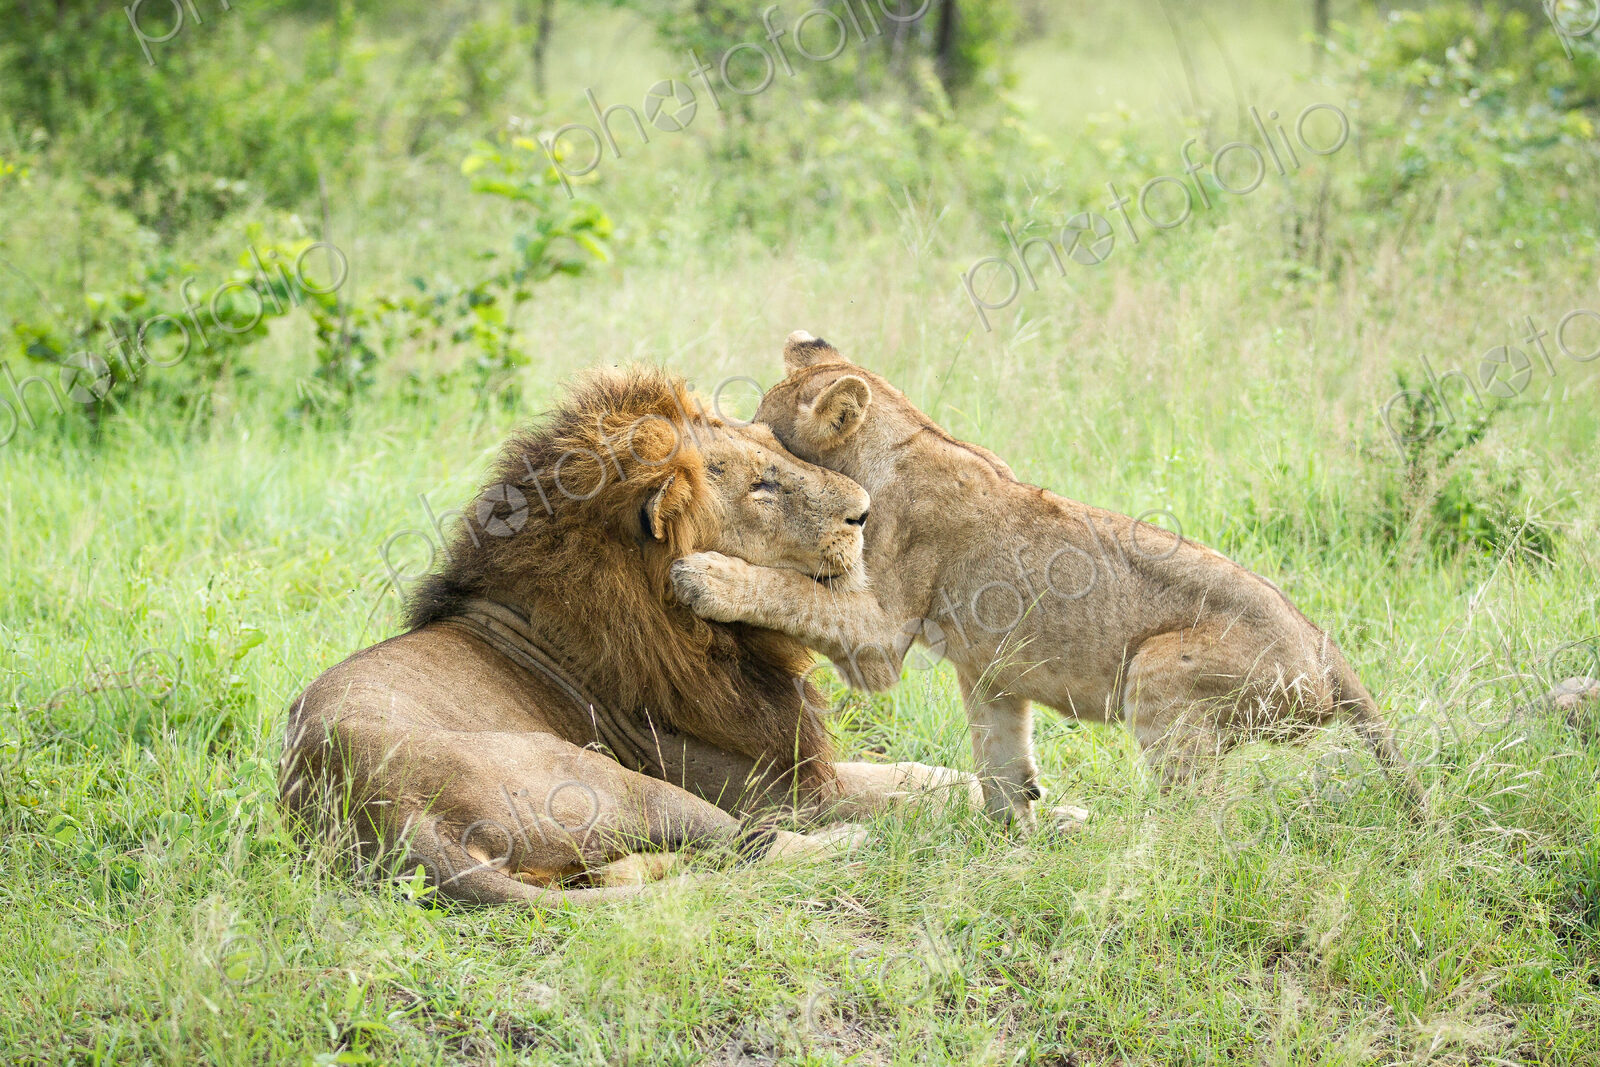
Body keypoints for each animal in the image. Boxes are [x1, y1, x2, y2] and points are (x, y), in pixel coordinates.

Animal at [280, 365, 979, 906]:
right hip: (623, 783)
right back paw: (850, 845)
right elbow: (909, 794)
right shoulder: (780, 792)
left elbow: (918, 773)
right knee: (751, 846)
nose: (865, 512)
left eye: (773, 445)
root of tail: (388, 814)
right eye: (762, 486)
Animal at [670, 333, 1424, 828]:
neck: (897, 441)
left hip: (1159, 671)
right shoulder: (988, 671)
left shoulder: (879, 636)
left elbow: (790, 591)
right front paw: (1009, 839)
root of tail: (1328, 650)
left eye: (764, 440)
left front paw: (706, 575)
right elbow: (1000, 759)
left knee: (1210, 822)